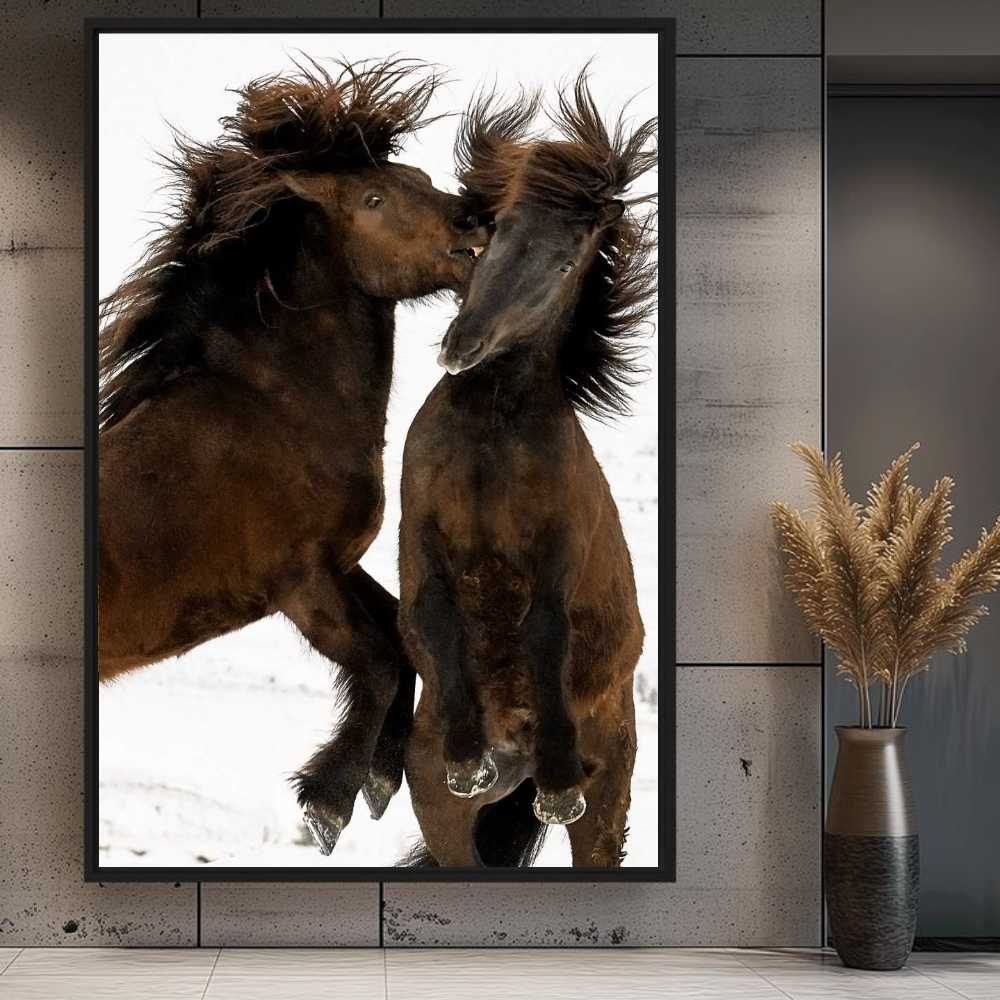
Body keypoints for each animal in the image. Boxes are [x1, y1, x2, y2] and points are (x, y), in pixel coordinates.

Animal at [97, 59, 488, 855]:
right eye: (373, 198)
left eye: (419, 176)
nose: (473, 223)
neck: (280, 408)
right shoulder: (299, 581)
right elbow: (379, 658)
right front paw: (328, 805)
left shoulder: (338, 562)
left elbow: (400, 635)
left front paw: (377, 779)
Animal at [397, 75, 656, 868]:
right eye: (492, 235)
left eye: (567, 263)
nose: (462, 345)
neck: (490, 438)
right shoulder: (420, 532)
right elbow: (431, 610)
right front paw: (465, 756)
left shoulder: (557, 546)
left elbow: (545, 629)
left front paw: (560, 782)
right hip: (450, 826)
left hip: (611, 807)